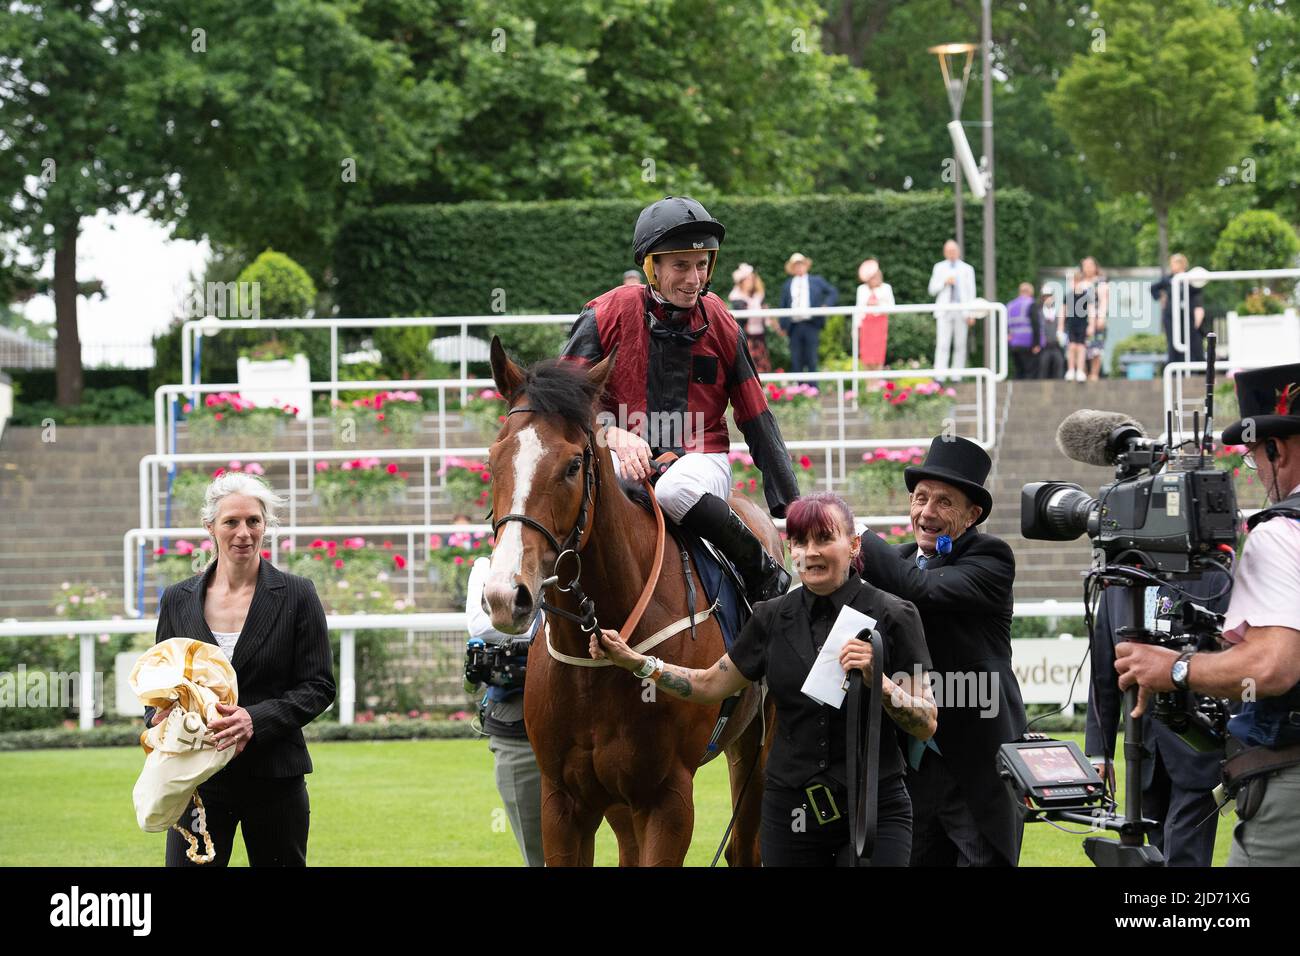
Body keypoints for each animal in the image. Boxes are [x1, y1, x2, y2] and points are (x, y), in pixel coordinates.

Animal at [480, 338, 774, 868]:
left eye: (573, 465)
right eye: (493, 459)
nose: (505, 595)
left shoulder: (667, 799)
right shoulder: (563, 802)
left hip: (754, 749)